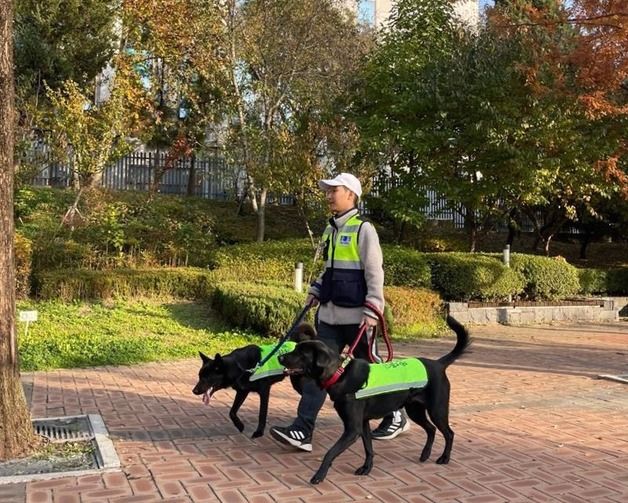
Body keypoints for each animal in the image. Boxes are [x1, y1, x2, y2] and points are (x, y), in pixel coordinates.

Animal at [278, 316, 468, 486]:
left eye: (301, 353)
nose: (280, 357)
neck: (340, 374)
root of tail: (438, 364)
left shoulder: (352, 429)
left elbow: (330, 453)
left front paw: (319, 475)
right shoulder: (363, 424)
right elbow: (369, 448)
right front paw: (366, 468)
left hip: (437, 410)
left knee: (449, 433)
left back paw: (444, 457)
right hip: (415, 410)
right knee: (431, 429)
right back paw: (425, 454)